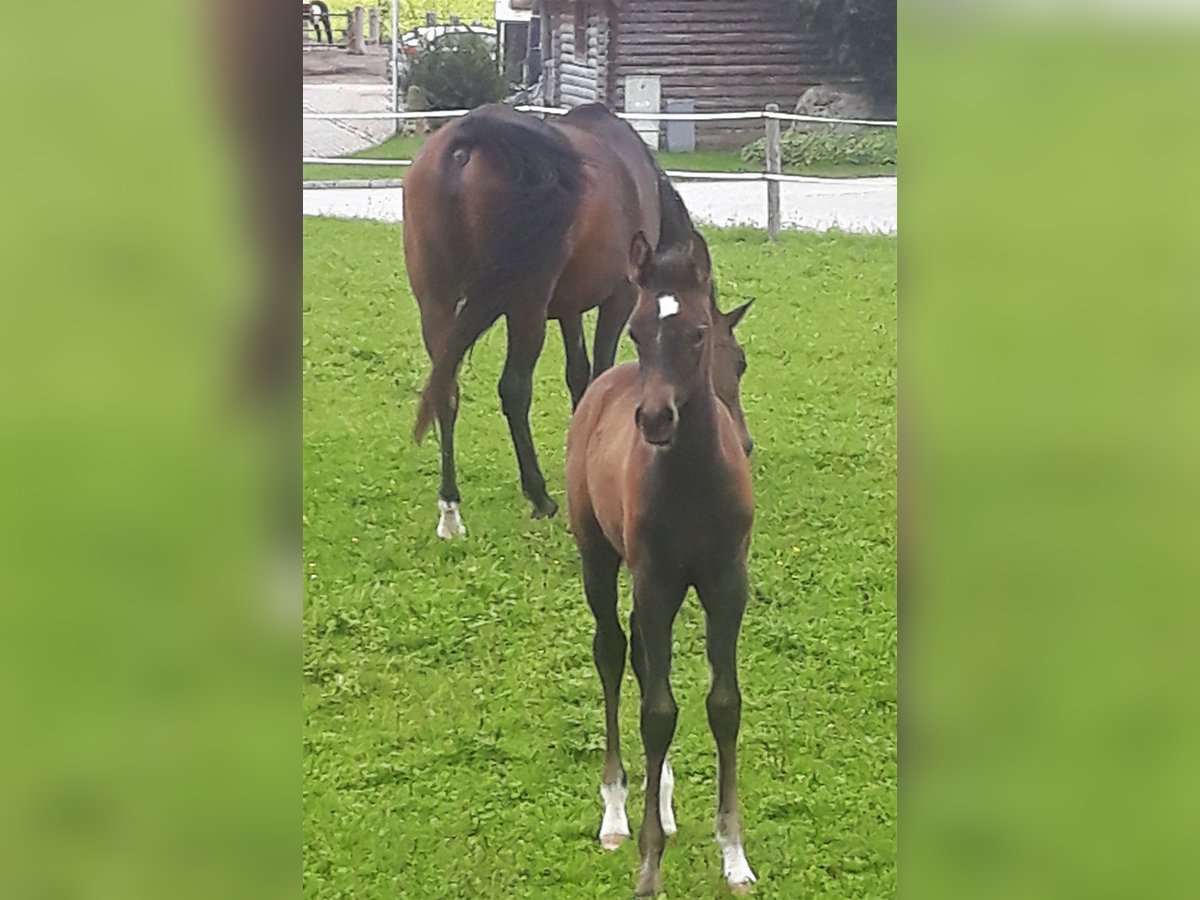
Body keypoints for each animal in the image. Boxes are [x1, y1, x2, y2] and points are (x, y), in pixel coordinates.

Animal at [408, 105, 662, 542]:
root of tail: (470, 138)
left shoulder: (569, 307)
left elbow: (579, 374)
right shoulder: (620, 297)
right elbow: (600, 372)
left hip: (437, 302)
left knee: (445, 390)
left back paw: (450, 511)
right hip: (525, 306)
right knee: (513, 390)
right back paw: (539, 497)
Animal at [566, 226, 753, 897]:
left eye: (698, 333)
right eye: (638, 331)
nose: (653, 418)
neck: (693, 479)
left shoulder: (726, 584)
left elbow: (723, 704)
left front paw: (734, 855)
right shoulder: (654, 582)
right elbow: (656, 713)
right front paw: (648, 867)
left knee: (644, 656)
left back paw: (664, 799)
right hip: (600, 559)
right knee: (614, 651)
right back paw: (618, 812)